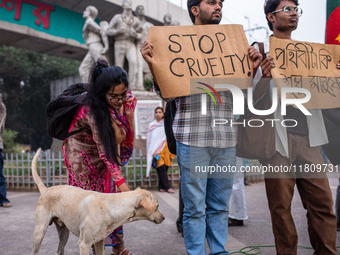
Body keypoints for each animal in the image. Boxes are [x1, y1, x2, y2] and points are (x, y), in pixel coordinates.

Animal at [31, 149, 164, 255]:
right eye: (157, 206)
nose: (164, 218)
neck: (111, 207)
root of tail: (46, 190)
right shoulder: (84, 244)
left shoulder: (99, 242)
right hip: (39, 233)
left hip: (64, 232)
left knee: (59, 250)